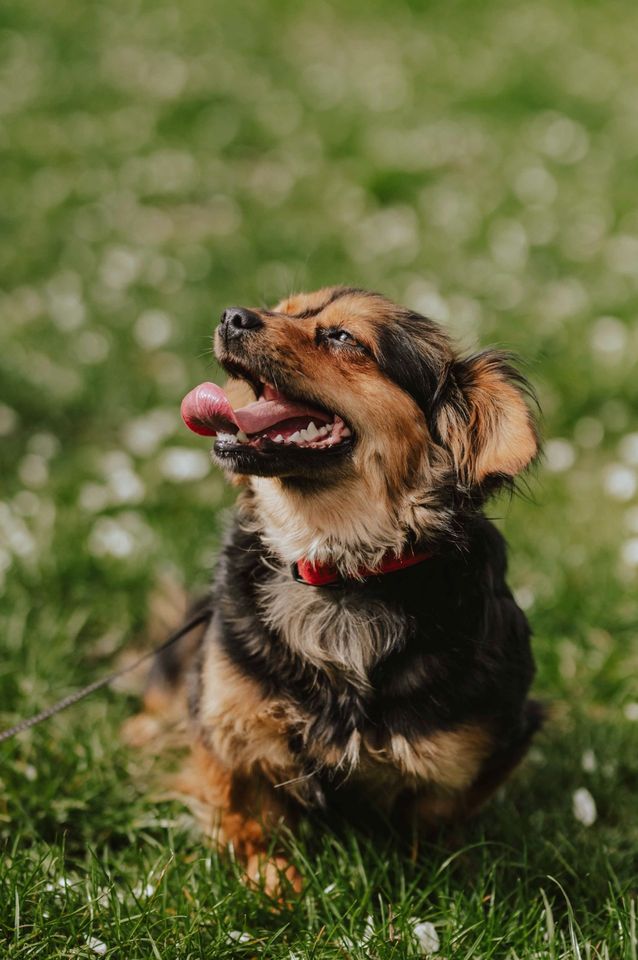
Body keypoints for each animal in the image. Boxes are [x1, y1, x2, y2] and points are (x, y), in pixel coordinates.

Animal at [138, 284, 544, 892]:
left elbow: (437, 822)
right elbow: (244, 809)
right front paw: (271, 881)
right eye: (282, 309)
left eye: (342, 336)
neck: (335, 567)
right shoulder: (224, 720)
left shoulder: (485, 744)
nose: (231, 316)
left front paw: (436, 879)